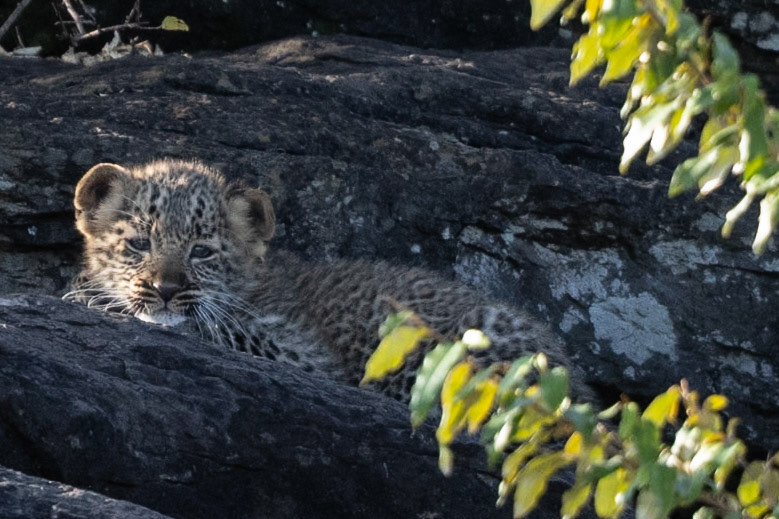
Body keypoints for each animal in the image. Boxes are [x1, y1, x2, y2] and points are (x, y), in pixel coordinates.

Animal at [67, 159, 593, 402]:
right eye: (139, 244)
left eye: (202, 251)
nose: (167, 290)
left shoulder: (307, 356)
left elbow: (218, 327)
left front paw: (91, 300)